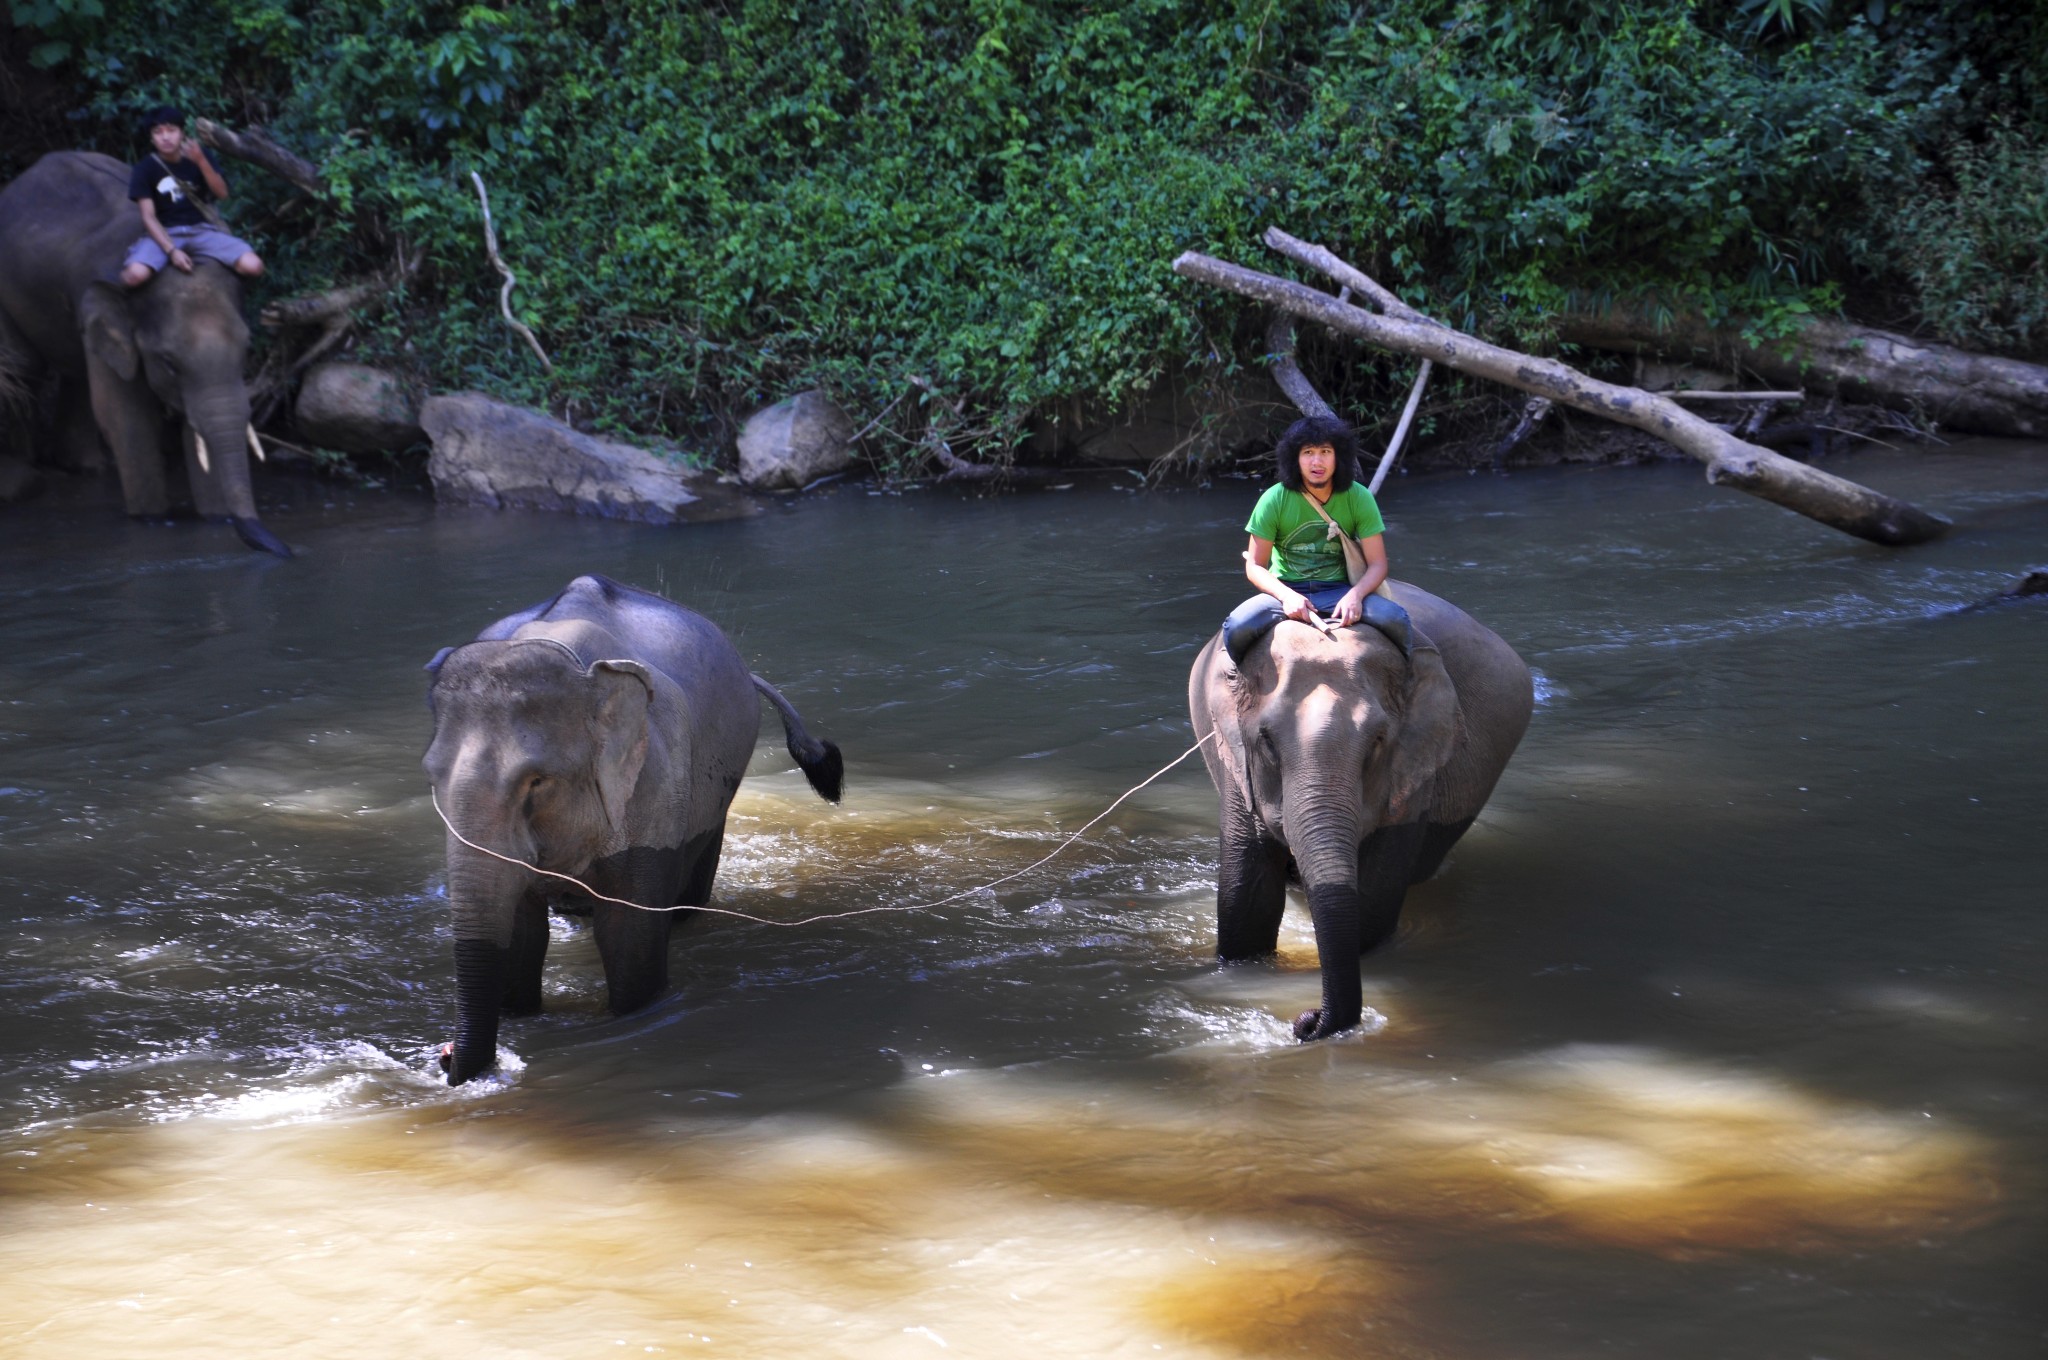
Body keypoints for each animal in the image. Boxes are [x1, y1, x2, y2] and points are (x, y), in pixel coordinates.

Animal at [0, 148, 290, 553]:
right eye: (168, 363)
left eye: (247, 349)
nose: (284, 549)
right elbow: (125, 418)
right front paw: (150, 519)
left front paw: (215, 520)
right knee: (26, 368)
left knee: (74, 376)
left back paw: (84, 467)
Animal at [419, 573, 843, 1081]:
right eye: (431, 777)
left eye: (538, 781)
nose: (444, 1055)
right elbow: (522, 934)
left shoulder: (654, 784)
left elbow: (627, 937)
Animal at [1187, 577, 1540, 1036]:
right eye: (1266, 742)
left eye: (1377, 742)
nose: (1305, 1020)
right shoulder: (1232, 758)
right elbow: (1247, 896)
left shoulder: (1416, 764)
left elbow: (1373, 901)